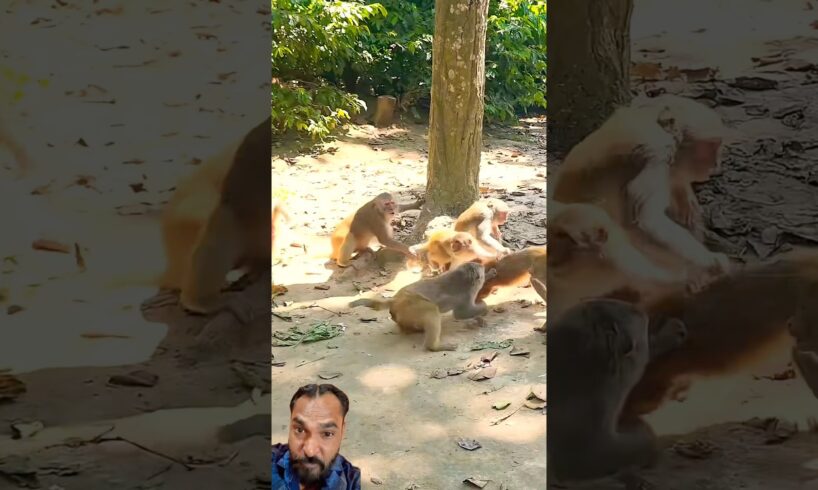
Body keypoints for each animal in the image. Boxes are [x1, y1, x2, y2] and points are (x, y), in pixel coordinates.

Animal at [348, 262, 496, 351]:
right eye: (480, 267)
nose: (483, 266)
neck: (462, 279)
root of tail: (395, 299)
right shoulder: (465, 295)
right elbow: (460, 314)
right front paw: (483, 308)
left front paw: (490, 274)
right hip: (412, 305)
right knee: (431, 311)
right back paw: (434, 346)